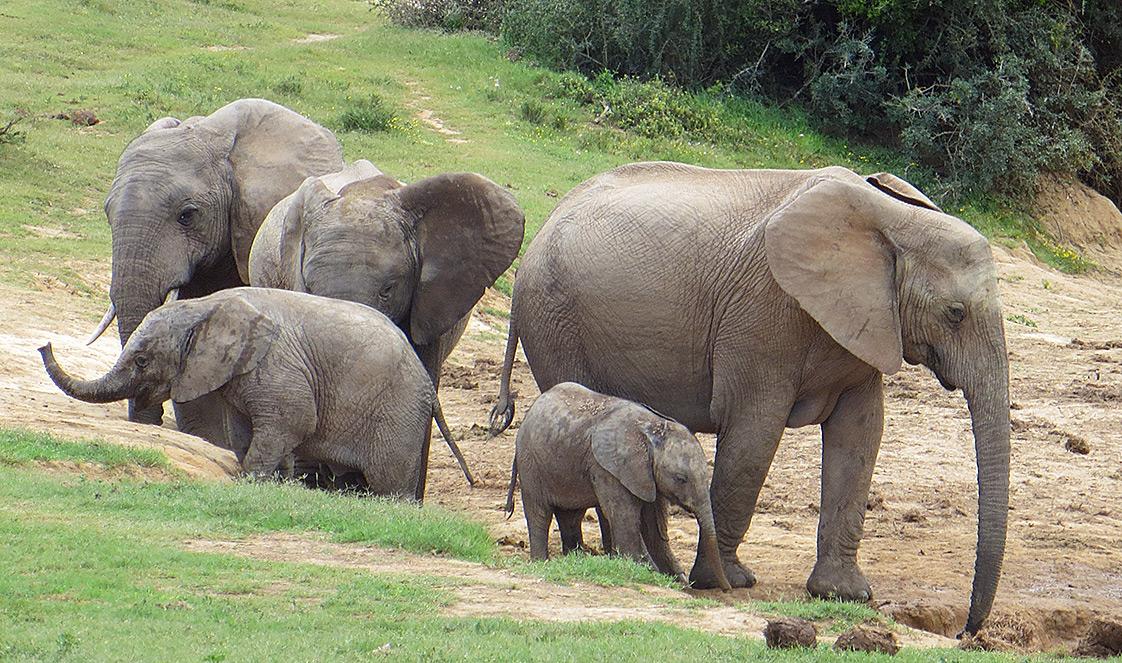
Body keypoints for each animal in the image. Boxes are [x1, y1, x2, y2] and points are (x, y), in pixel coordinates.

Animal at [42, 287, 472, 500]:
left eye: (143, 360)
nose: (43, 344)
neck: (206, 305)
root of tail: (430, 388)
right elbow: (245, 431)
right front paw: (272, 482)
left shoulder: (276, 366)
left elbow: (292, 422)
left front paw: (250, 481)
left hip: (396, 415)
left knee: (389, 481)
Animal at [505, 382, 731, 591]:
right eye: (681, 478)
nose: (726, 588)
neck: (653, 428)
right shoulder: (607, 469)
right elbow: (625, 520)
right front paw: (650, 572)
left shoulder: (646, 475)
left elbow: (653, 525)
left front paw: (677, 580)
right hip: (530, 463)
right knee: (540, 513)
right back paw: (541, 562)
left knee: (571, 516)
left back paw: (575, 559)